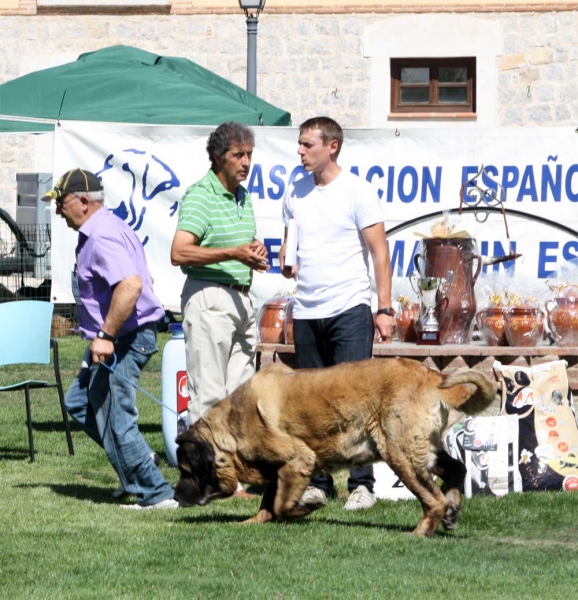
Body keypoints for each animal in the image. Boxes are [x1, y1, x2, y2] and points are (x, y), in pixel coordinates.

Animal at [173, 358, 492, 536]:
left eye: (187, 471)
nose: (175, 496)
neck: (231, 426)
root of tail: (433, 376)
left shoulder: (298, 460)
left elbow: (282, 504)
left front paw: (307, 506)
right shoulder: (279, 470)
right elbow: (268, 503)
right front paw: (255, 521)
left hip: (400, 455)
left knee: (433, 499)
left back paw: (421, 530)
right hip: (421, 452)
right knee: (457, 469)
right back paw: (452, 511)